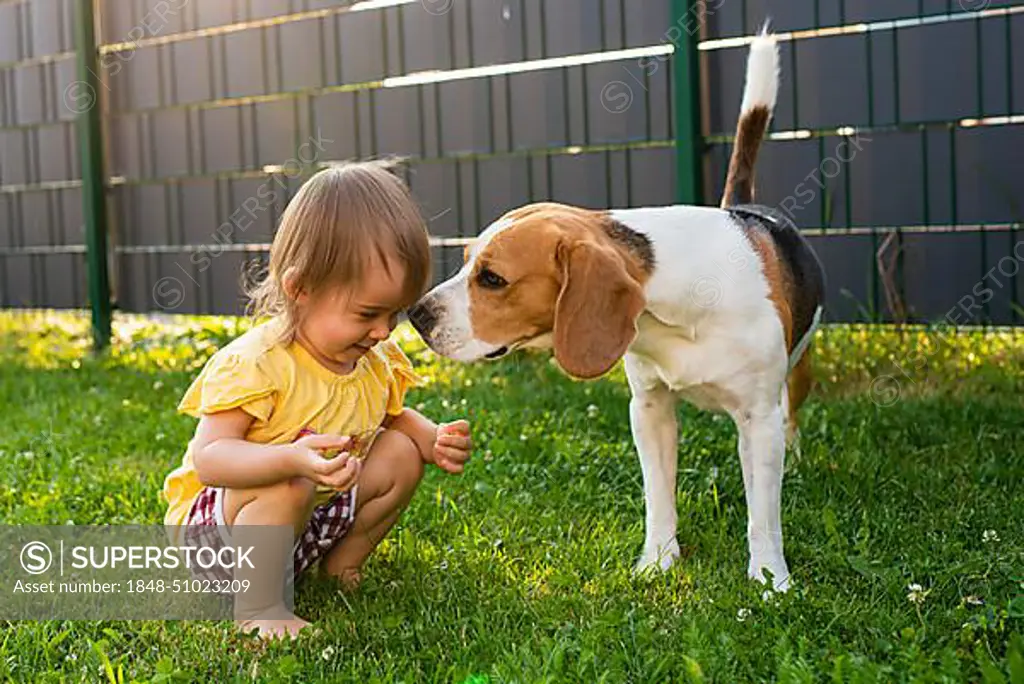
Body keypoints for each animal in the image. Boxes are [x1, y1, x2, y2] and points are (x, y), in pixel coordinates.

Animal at [407, 30, 823, 593]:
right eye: (468, 259)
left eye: (492, 279)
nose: (415, 315)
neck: (679, 301)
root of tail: (748, 208)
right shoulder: (648, 410)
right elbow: (659, 498)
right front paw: (658, 562)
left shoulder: (758, 420)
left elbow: (764, 517)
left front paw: (769, 579)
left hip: (797, 373)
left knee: (791, 417)